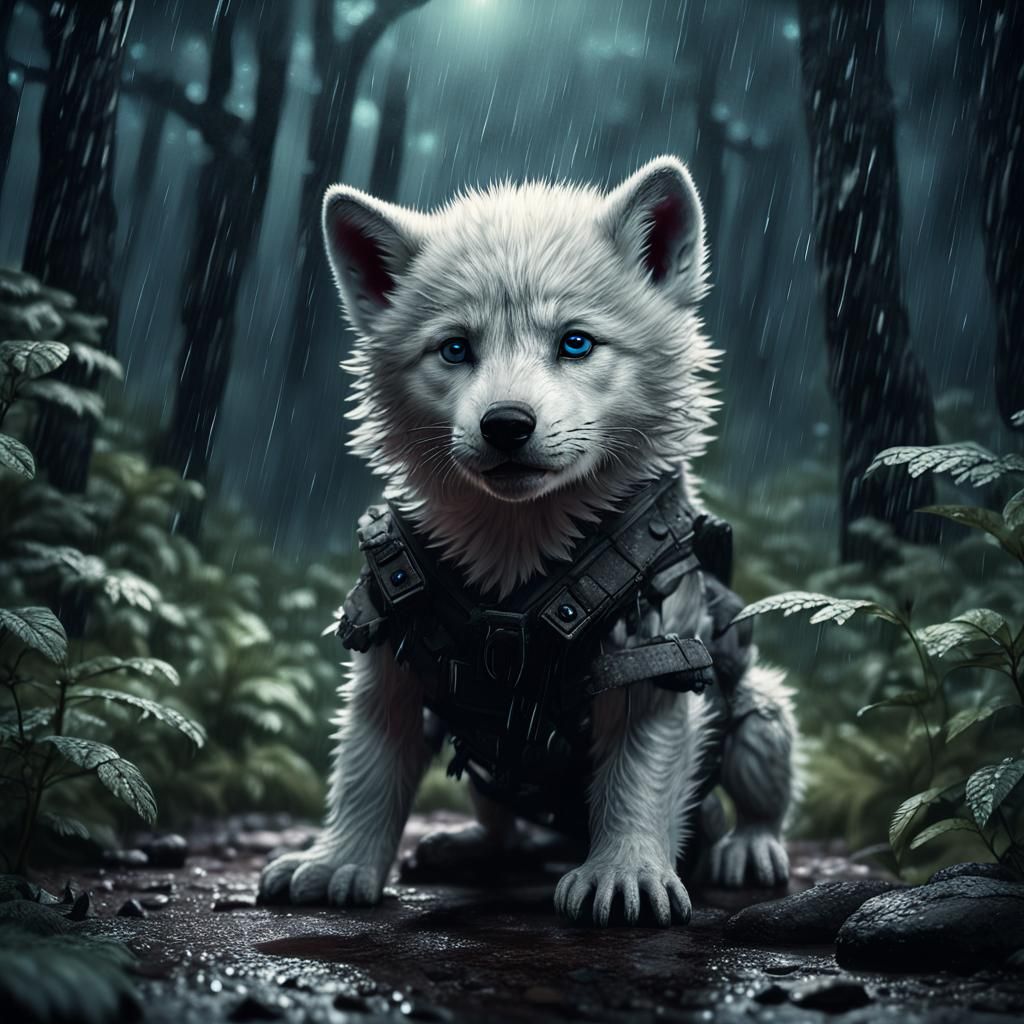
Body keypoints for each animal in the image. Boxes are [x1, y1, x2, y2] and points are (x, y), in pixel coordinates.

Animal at [259, 156, 797, 926]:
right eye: (455, 348)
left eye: (575, 342)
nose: (505, 424)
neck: (517, 547)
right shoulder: (389, 652)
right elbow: (366, 767)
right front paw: (337, 863)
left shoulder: (658, 652)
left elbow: (639, 777)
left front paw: (623, 874)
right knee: (499, 818)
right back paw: (470, 845)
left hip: (761, 711)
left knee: (759, 777)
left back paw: (748, 847)